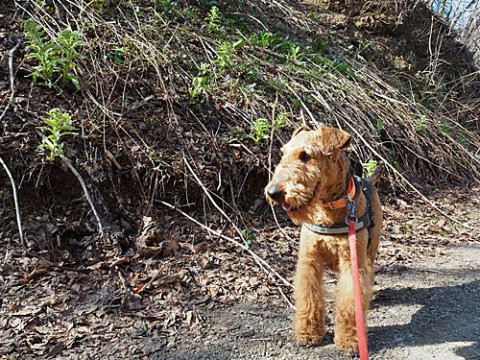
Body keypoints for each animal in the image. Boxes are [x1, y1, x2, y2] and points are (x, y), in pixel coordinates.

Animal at [264, 126, 380, 354]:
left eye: (305, 156)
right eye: (283, 153)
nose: (273, 193)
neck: (328, 208)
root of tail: (368, 181)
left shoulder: (351, 263)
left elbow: (349, 303)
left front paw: (349, 340)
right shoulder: (309, 261)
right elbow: (309, 298)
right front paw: (308, 333)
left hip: (370, 250)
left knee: (369, 275)